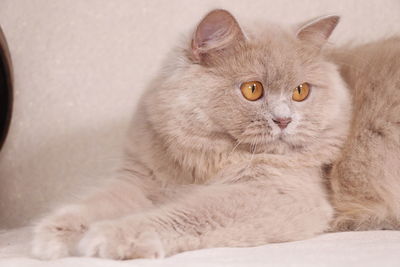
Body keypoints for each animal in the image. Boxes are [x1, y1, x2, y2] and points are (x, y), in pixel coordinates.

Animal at [30, 9, 394, 260]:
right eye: (252, 89)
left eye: (301, 92)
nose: (284, 120)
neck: (208, 157)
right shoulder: (141, 180)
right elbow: (96, 203)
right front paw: (54, 234)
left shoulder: (279, 192)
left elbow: (186, 213)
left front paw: (113, 236)